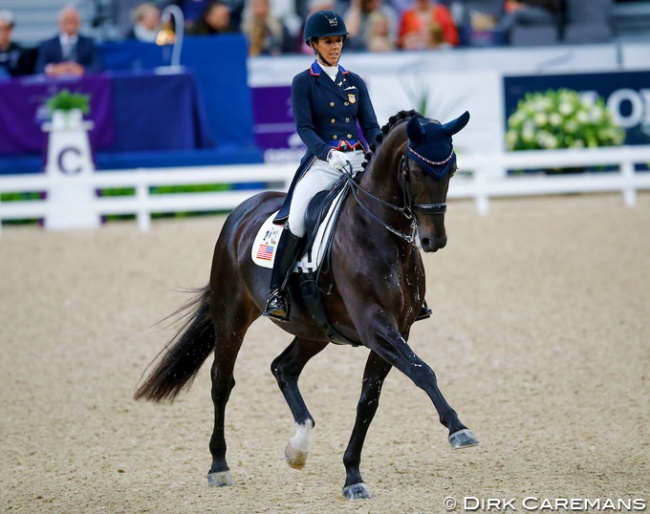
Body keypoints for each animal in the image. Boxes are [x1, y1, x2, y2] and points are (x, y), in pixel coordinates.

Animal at [133, 108, 476, 496]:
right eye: (415, 171)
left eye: (452, 169)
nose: (435, 240)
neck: (380, 234)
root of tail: (243, 210)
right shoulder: (376, 327)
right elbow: (422, 371)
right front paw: (458, 428)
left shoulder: (397, 329)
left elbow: (369, 400)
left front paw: (352, 473)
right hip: (231, 316)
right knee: (222, 381)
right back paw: (219, 466)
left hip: (315, 329)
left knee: (283, 368)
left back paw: (298, 446)